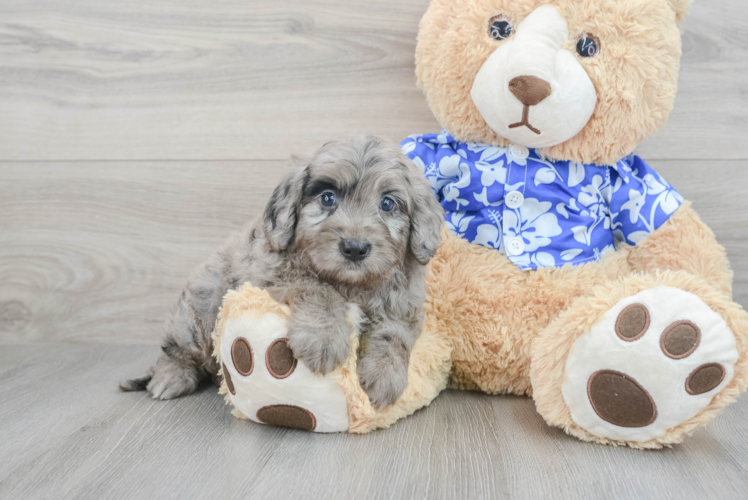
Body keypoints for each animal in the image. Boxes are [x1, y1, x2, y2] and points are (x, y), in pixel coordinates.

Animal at [119, 135, 442, 408]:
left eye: (387, 204)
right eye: (327, 198)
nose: (354, 248)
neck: (351, 284)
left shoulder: (404, 305)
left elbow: (393, 333)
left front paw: (386, 376)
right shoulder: (266, 275)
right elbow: (317, 288)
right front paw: (324, 339)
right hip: (191, 320)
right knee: (175, 353)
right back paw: (170, 378)